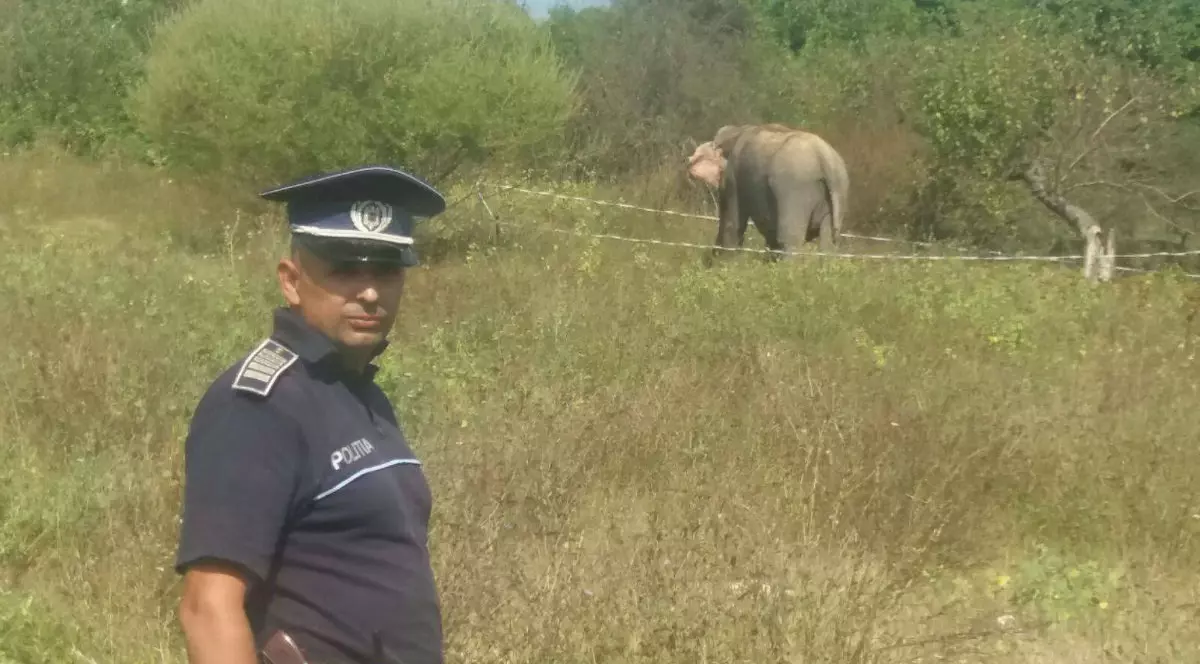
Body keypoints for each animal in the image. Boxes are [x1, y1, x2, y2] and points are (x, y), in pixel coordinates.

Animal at [687, 123, 849, 259]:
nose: (709, 257)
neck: (737, 131)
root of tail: (824, 157)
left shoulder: (733, 178)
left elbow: (732, 224)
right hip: (838, 190)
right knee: (828, 242)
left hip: (794, 190)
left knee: (790, 240)